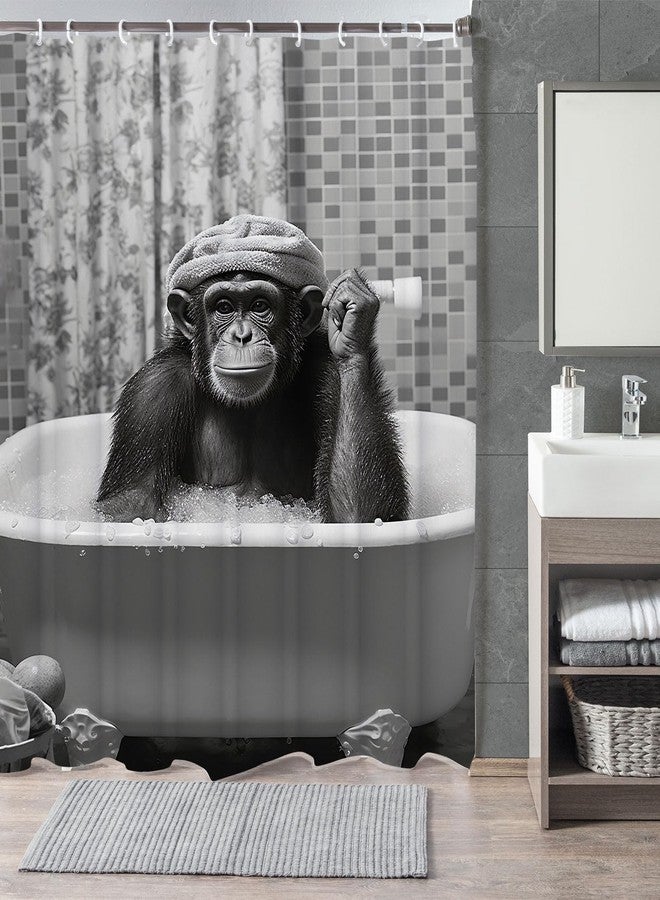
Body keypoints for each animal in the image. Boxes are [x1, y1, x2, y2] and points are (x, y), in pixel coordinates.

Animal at [97, 217, 408, 525]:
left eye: (260, 305)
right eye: (223, 307)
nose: (242, 335)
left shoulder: (330, 371)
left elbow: (360, 514)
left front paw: (352, 314)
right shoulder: (153, 390)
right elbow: (132, 503)